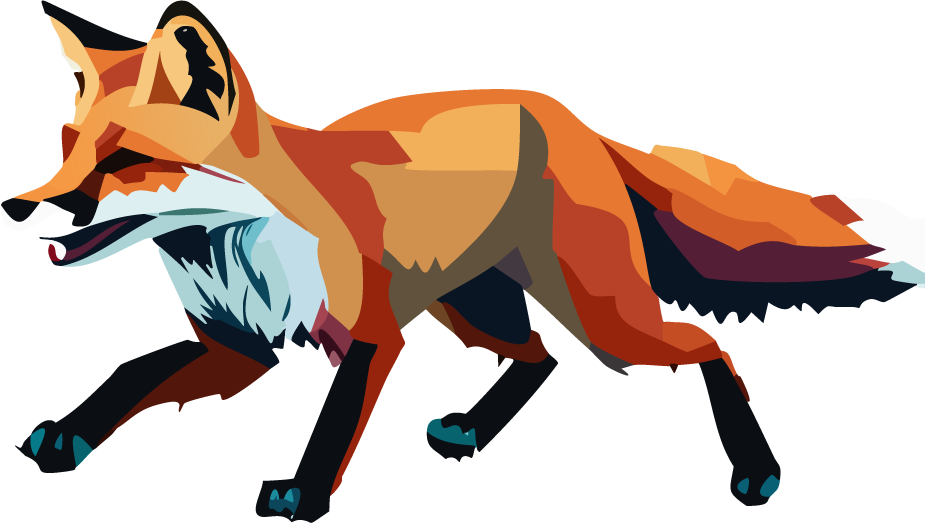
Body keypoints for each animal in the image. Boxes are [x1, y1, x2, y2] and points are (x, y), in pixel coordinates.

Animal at [6, 1, 923, 520]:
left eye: (127, 161)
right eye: (67, 145)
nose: (21, 207)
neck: (235, 248)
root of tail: (563, 112)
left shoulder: (372, 337)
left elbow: (333, 421)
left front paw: (301, 494)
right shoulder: (238, 348)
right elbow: (130, 373)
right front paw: (69, 435)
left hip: (606, 320)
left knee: (707, 348)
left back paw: (757, 473)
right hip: (472, 311)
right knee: (540, 358)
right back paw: (473, 430)